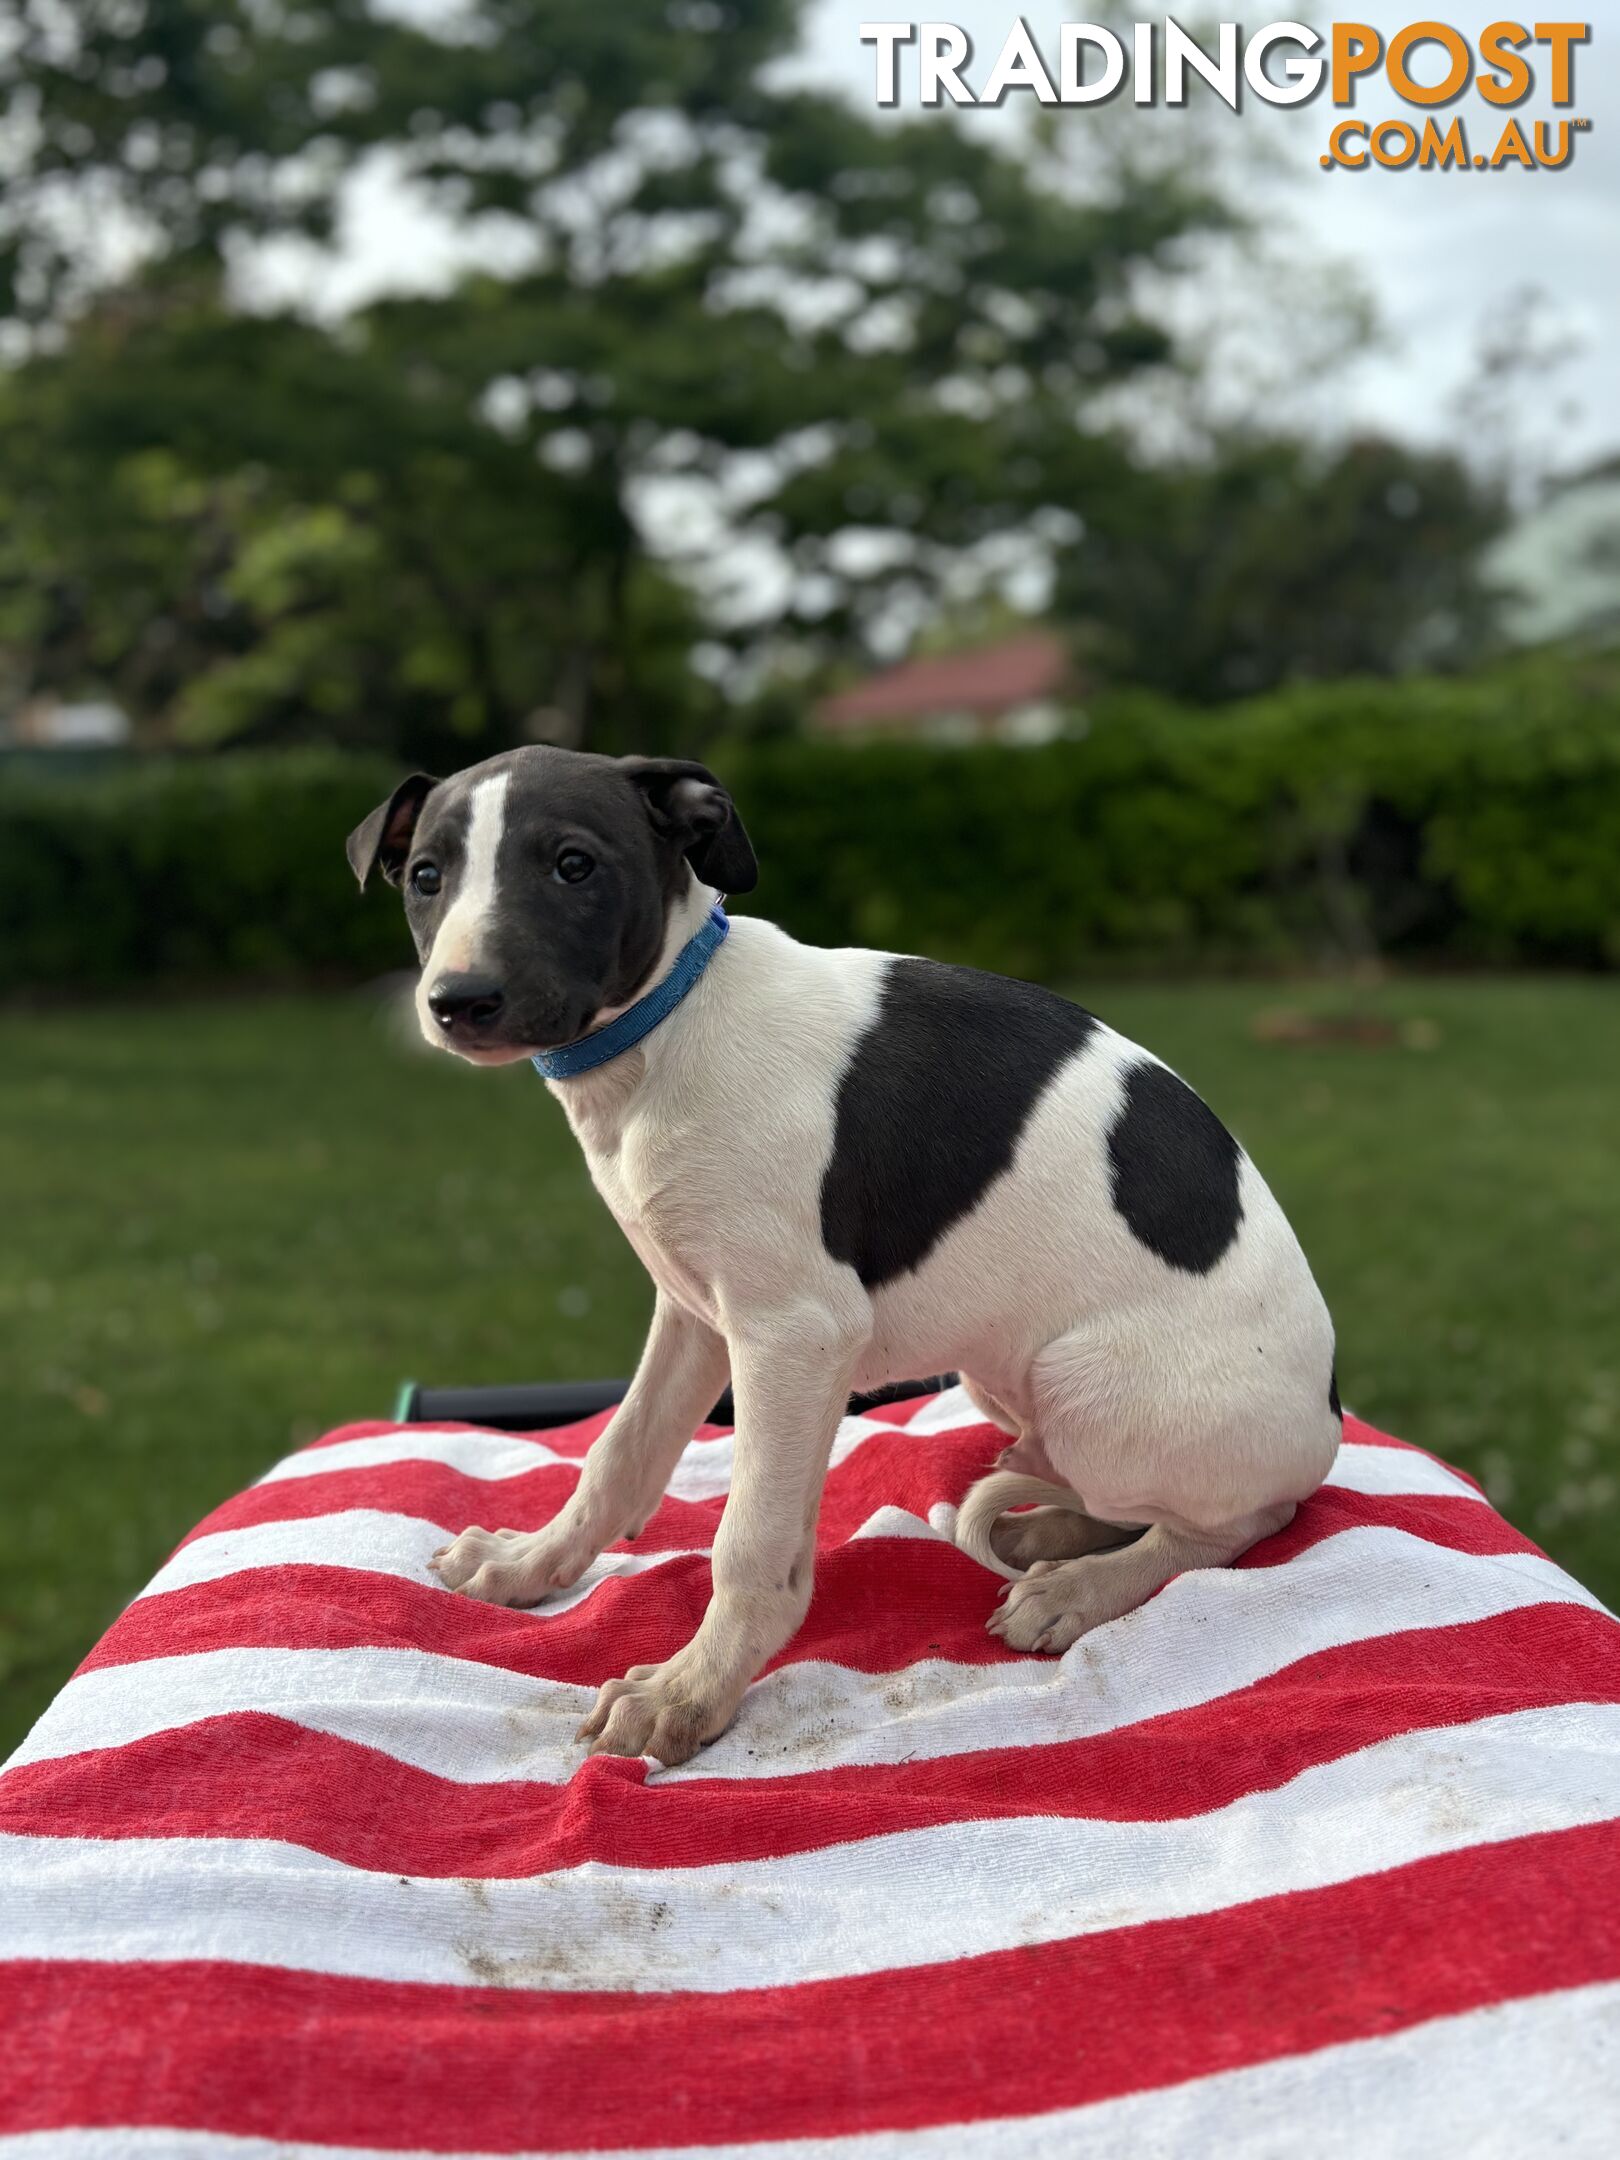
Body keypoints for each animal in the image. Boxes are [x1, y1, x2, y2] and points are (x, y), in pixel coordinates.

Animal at [352, 751, 1347, 1762]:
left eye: (573, 865)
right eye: (425, 875)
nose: (459, 1002)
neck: (669, 1027)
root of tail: (1330, 1409)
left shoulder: (794, 1336)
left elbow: (749, 1540)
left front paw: (687, 1692)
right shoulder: (695, 1314)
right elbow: (619, 1450)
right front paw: (530, 1564)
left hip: (1088, 1388)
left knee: (1241, 1519)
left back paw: (1079, 1588)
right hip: (1005, 1382)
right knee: (1141, 1503)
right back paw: (1051, 1535)